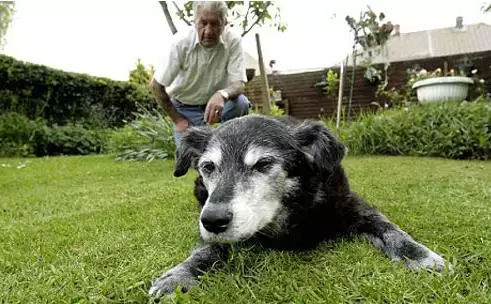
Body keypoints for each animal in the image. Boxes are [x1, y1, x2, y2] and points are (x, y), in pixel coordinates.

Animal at [148, 114, 448, 296]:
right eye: (209, 167)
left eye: (264, 164)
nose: (212, 220)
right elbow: (206, 250)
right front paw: (178, 275)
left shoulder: (354, 208)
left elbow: (391, 230)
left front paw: (418, 255)